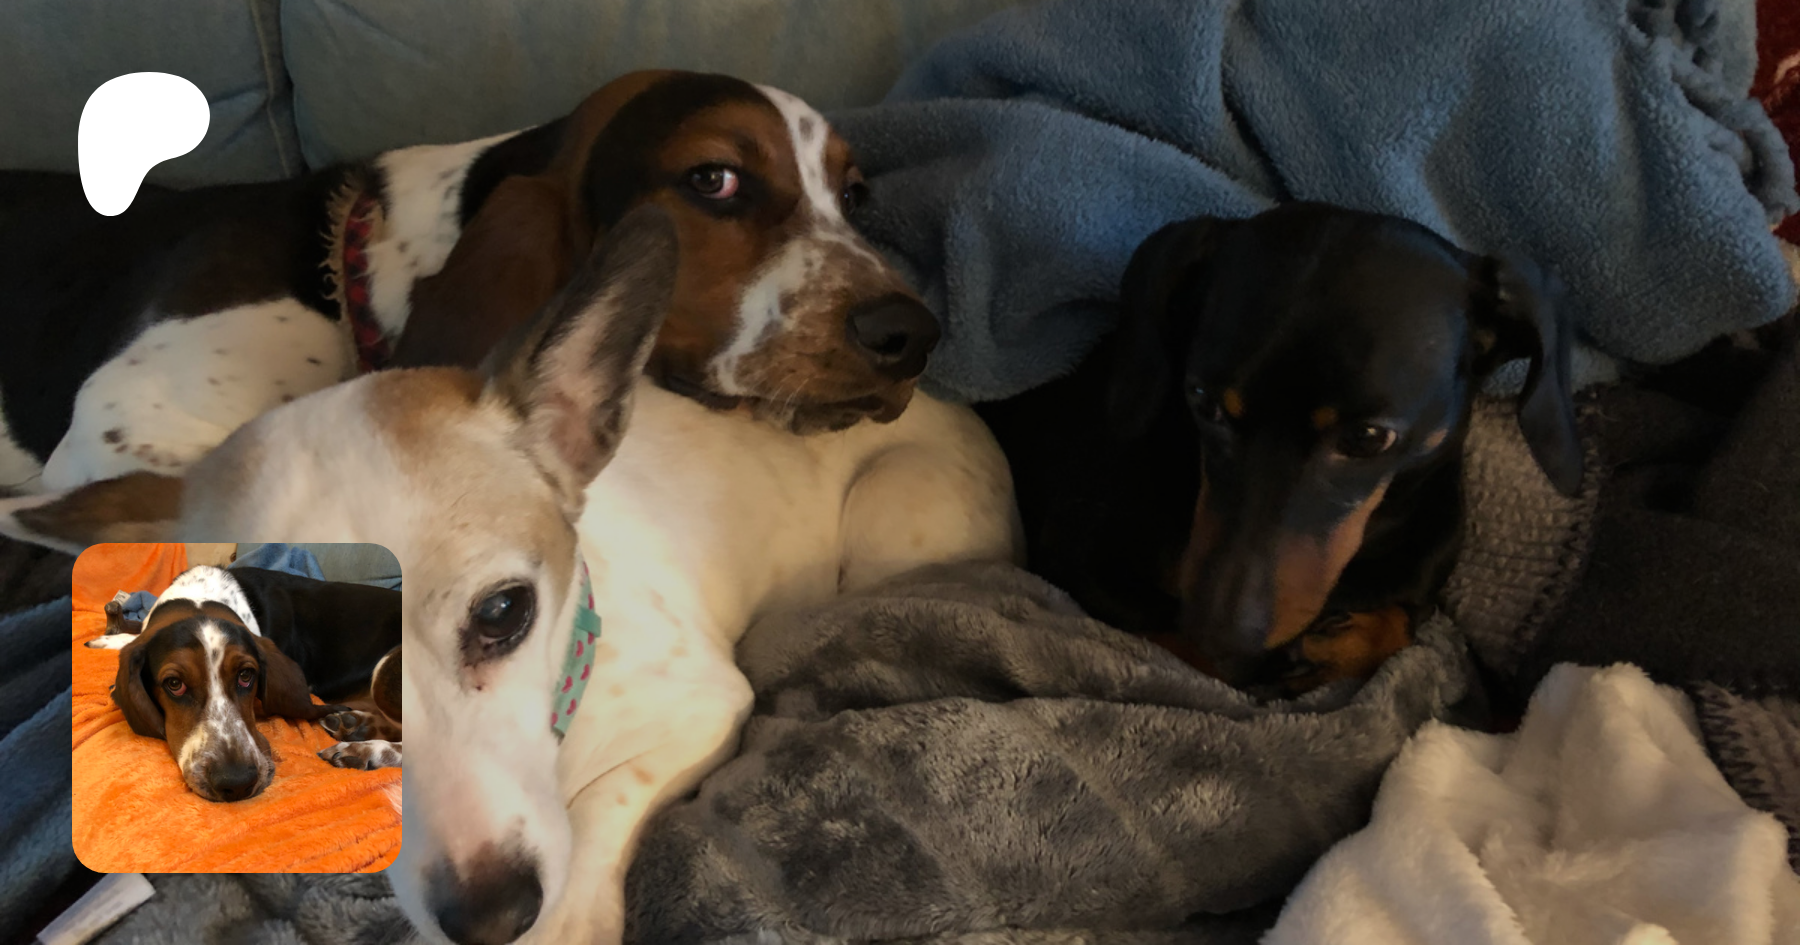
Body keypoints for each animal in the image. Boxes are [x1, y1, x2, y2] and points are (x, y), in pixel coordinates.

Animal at [96, 564, 403, 801]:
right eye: (174, 683)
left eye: (246, 675)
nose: (237, 783)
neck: (199, 597)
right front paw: (109, 638)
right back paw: (351, 725)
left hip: (385, 670)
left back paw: (364, 749)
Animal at [980, 203, 1582, 691]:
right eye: (1202, 401)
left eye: (1370, 437)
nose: (1221, 627)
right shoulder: (1076, 554)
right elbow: (1189, 651)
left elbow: (1401, 628)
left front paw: (1340, 641)